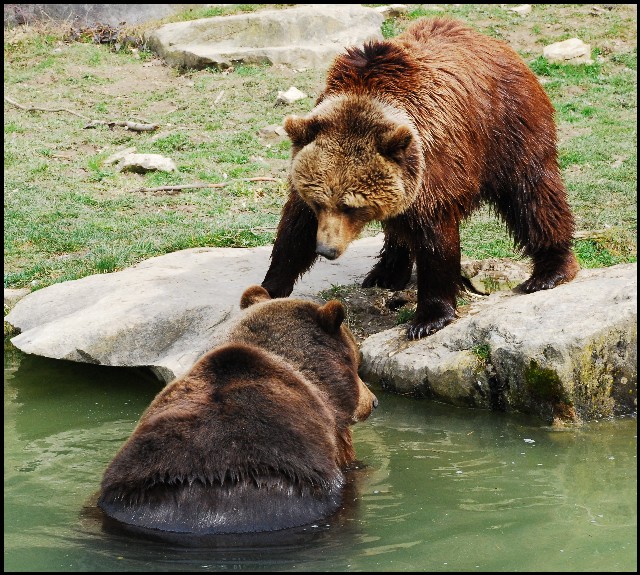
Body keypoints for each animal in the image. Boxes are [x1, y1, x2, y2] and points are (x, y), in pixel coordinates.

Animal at [260, 16, 580, 342]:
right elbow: (294, 232)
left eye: (351, 207)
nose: (327, 249)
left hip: (508, 127)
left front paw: (428, 319)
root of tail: (491, 41)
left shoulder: (434, 167)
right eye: (319, 202)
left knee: (532, 193)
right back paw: (387, 271)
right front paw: (269, 289)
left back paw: (549, 270)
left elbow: (435, 241)